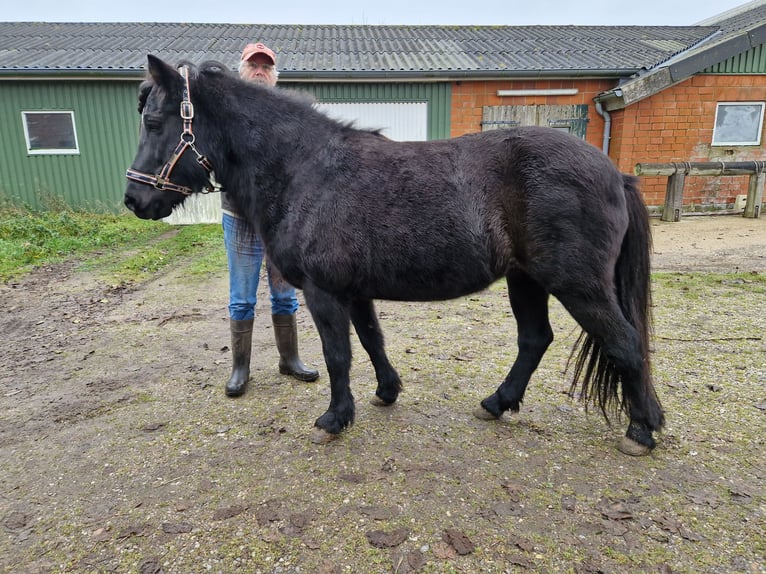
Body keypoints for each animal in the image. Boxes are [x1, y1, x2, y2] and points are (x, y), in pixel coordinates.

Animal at [124, 55, 664, 456]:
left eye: (154, 121)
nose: (134, 200)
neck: (304, 169)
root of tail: (615, 173)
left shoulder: (324, 292)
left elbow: (338, 354)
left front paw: (334, 418)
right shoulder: (354, 291)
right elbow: (371, 341)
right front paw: (386, 392)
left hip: (577, 284)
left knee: (624, 342)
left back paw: (640, 431)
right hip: (526, 279)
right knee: (535, 340)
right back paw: (498, 402)